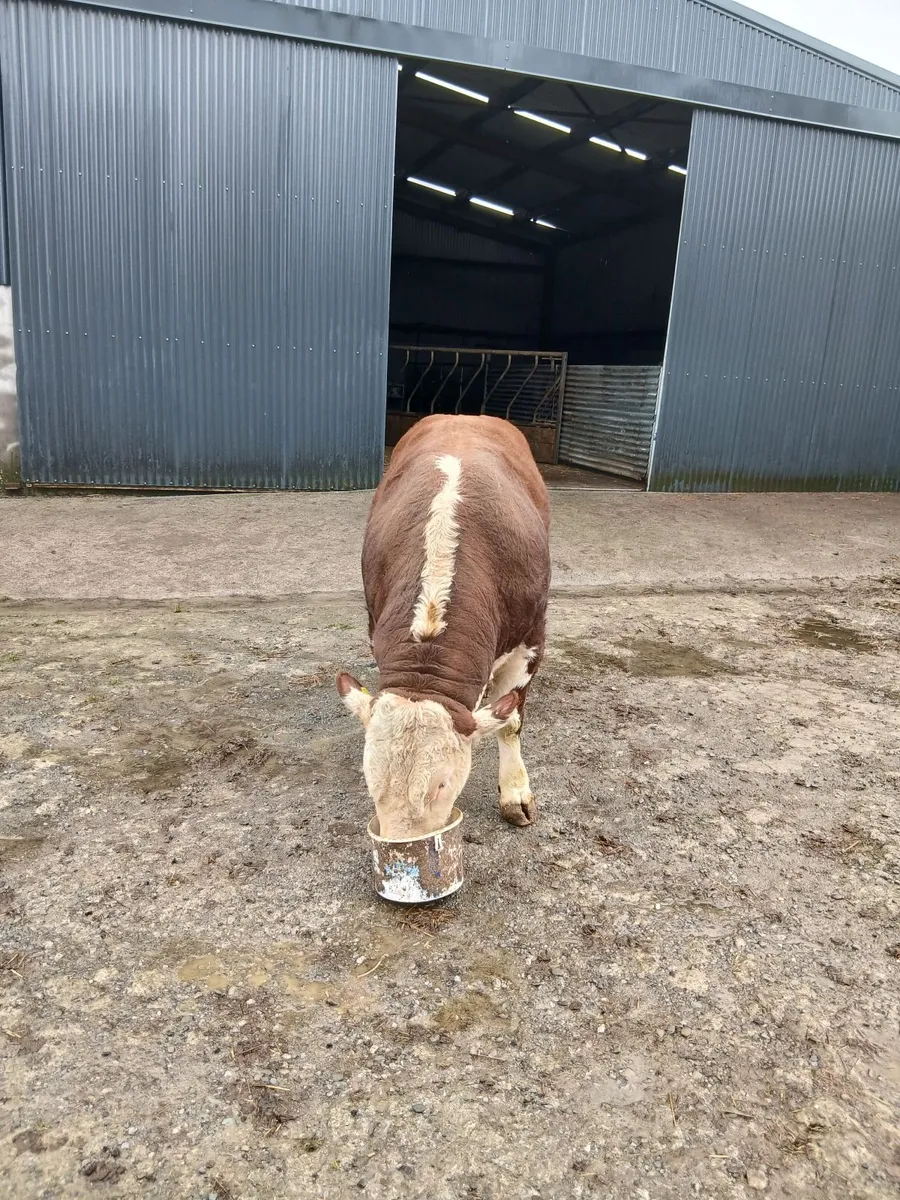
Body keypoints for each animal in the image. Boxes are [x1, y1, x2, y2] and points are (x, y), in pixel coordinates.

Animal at [337, 413, 551, 841]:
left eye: (442, 783)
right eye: (371, 781)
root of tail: (464, 416)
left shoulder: (532, 637)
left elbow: (510, 722)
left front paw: (515, 793)